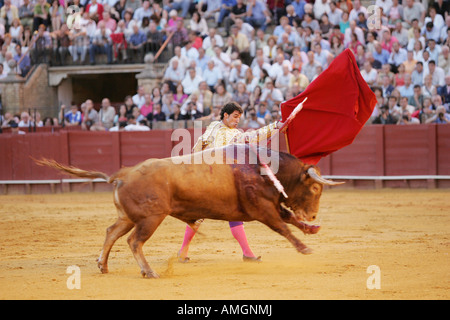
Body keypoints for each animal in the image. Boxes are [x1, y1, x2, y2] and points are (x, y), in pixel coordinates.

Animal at [36, 144, 344, 278]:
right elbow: (283, 227)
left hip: (129, 216)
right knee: (134, 241)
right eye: (315, 188)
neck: (261, 167)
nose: (313, 216)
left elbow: (288, 219)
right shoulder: (261, 208)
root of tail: (123, 173)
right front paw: (304, 248)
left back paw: (103, 265)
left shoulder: (269, 206)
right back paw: (149, 271)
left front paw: (310, 230)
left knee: (112, 232)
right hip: (150, 218)